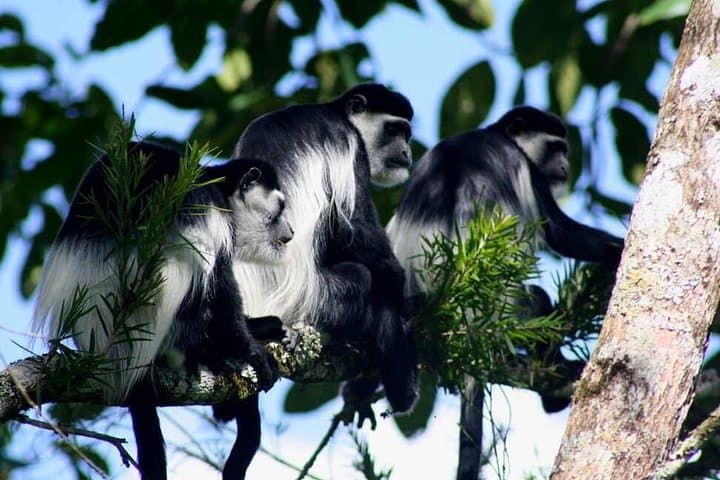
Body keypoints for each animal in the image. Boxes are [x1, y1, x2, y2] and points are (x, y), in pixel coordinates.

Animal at [31, 141, 293, 480]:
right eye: (279, 210)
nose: (290, 232)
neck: (218, 187)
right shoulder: (212, 212)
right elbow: (221, 286)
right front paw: (251, 349)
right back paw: (219, 352)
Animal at [386, 106, 624, 480]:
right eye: (557, 148)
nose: (566, 167)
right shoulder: (528, 169)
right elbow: (560, 233)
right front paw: (621, 249)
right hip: (504, 305)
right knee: (538, 302)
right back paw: (555, 385)